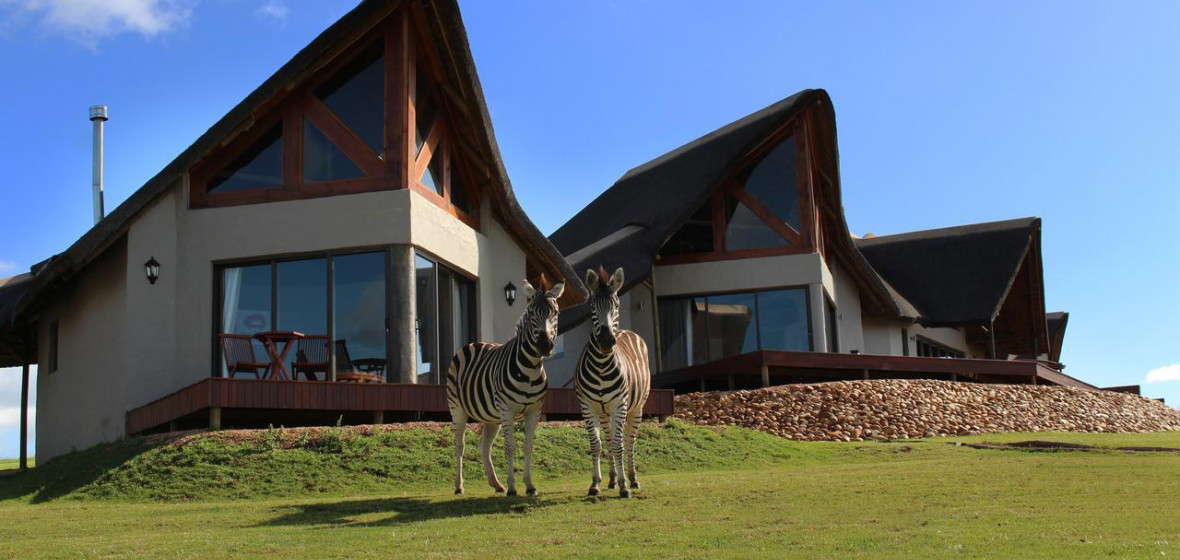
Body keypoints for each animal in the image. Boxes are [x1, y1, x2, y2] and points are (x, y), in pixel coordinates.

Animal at [447, 278, 564, 496]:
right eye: (532, 312)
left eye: (556, 313)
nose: (545, 345)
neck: (530, 369)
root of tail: (474, 343)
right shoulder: (508, 410)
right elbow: (510, 447)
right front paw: (512, 487)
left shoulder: (534, 411)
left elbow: (527, 446)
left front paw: (529, 485)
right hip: (458, 408)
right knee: (459, 444)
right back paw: (459, 486)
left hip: (492, 417)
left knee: (484, 446)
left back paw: (496, 484)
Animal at [575, 266, 650, 498]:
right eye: (592, 307)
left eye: (616, 306)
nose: (607, 341)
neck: (601, 365)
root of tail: (626, 331)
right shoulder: (587, 407)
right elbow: (596, 445)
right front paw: (595, 484)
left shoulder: (620, 405)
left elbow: (618, 445)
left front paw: (625, 487)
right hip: (603, 411)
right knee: (608, 441)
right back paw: (612, 479)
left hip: (636, 408)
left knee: (629, 442)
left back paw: (632, 479)